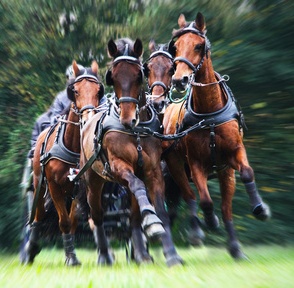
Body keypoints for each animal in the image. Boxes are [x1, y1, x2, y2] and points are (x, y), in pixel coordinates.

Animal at [21, 60, 104, 266]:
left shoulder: (77, 188)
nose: (88, 119)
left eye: (98, 91)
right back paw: (31, 249)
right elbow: (64, 222)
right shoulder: (54, 186)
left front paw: (71, 254)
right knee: (38, 215)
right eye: (75, 91)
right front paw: (71, 258)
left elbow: (72, 222)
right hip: (39, 183)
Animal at [79, 38, 183, 268]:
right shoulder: (119, 166)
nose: (128, 119)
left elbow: (160, 211)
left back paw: (142, 254)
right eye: (113, 76)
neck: (135, 131)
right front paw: (152, 224)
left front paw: (171, 254)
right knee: (97, 216)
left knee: (134, 214)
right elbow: (136, 185)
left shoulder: (153, 171)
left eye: (139, 74)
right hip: (92, 181)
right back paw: (104, 255)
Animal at [163, 12, 272, 258]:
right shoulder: (195, 162)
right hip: (175, 165)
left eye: (199, 45)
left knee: (225, 207)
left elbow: (247, 174)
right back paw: (197, 231)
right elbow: (204, 199)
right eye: (175, 47)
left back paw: (234, 247)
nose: (179, 80)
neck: (209, 113)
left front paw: (260, 208)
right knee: (189, 195)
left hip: (224, 172)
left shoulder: (233, 155)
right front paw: (210, 221)